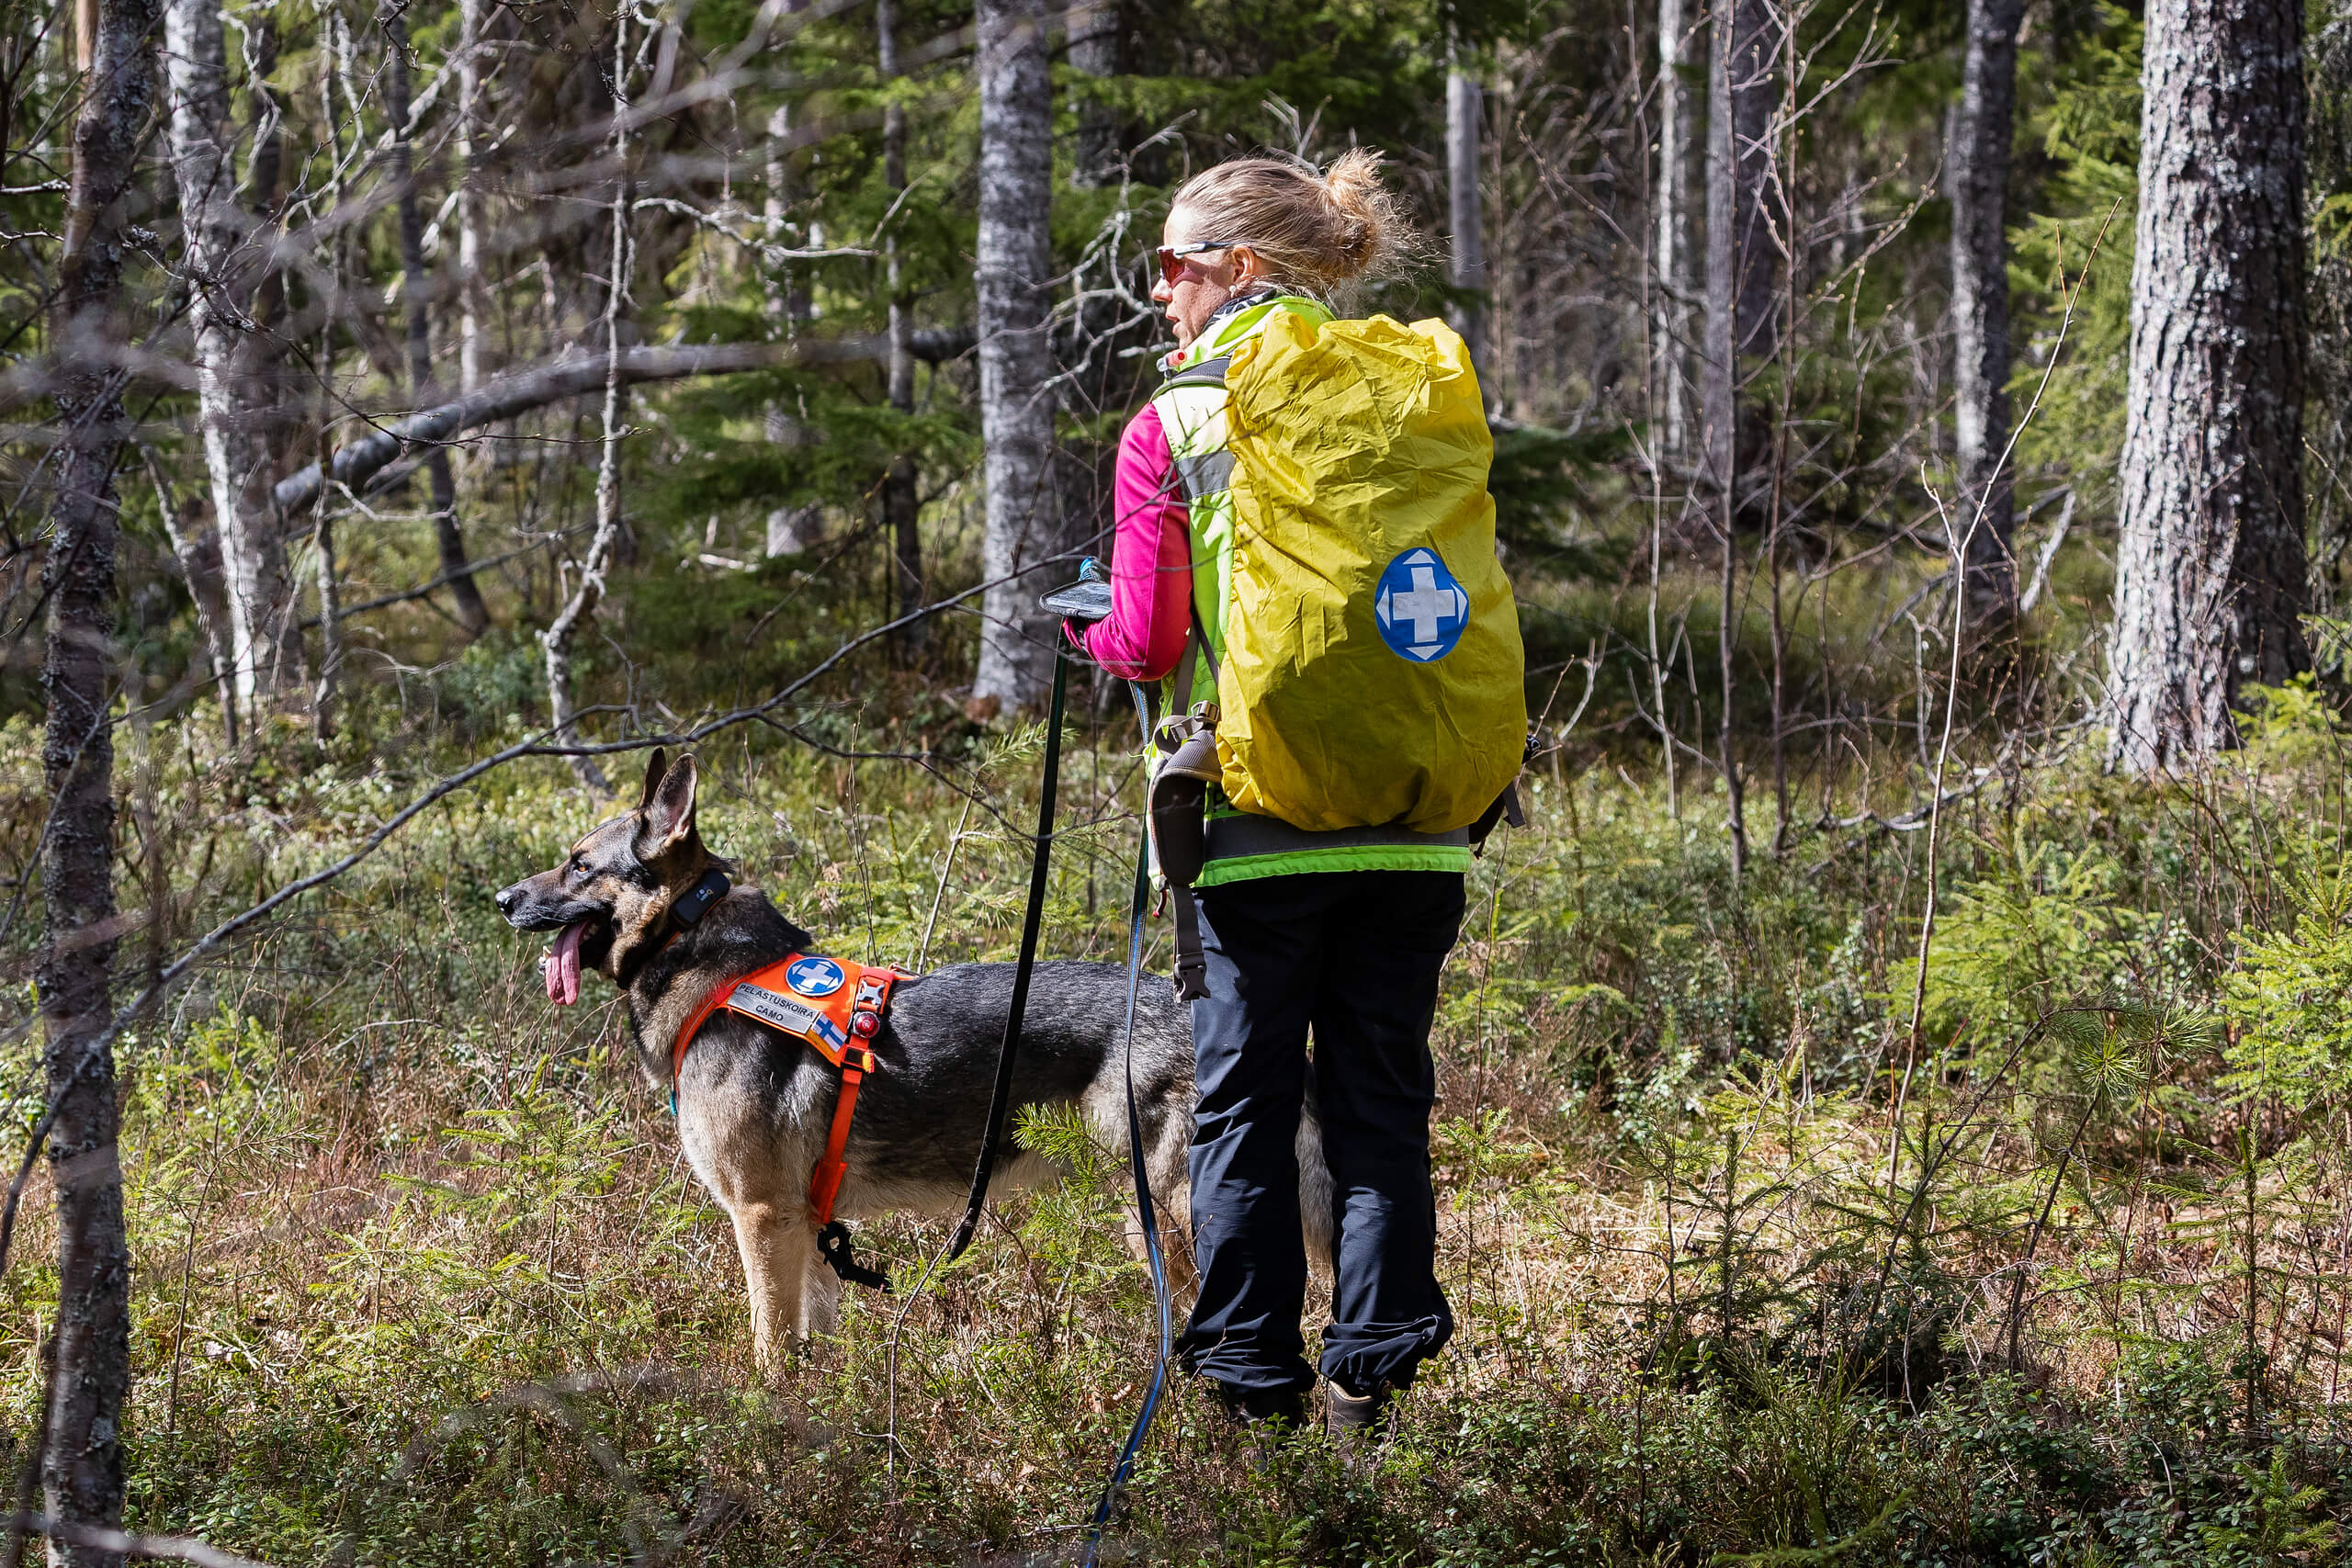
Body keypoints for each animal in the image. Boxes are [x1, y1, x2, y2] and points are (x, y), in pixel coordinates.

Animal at [498, 747, 1336, 1372]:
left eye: (578, 865)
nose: (503, 899)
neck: (700, 954)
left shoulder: (762, 1217)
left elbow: (769, 1350)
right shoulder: (806, 1229)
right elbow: (811, 1349)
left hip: (1168, 1218)